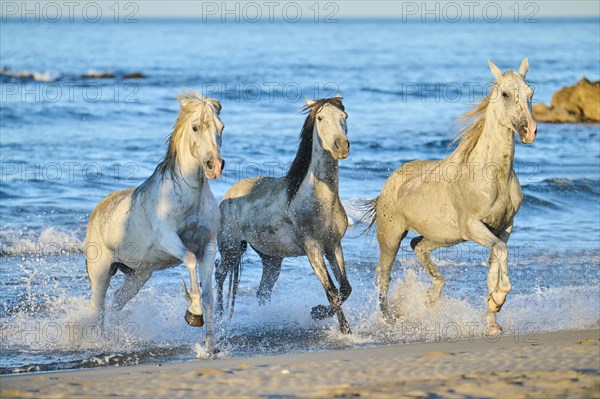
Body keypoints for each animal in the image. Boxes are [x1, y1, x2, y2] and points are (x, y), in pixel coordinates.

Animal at [83, 91, 224, 354]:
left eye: (221, 127)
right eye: (196, 127)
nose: (215, 166)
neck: (188, 194)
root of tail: (97, 212)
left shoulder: (209, 245)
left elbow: (209, 295)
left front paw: (210, 347)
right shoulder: (168, 238)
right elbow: (189, 259)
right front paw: (193, 313)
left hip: (138, 275)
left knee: (115, 303)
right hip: (101, 272)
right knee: (97, 308)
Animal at [216, 94, 352, 334]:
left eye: (344, 116)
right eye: (320, 118)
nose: (341, 146)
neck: (318, 201)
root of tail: (228, 196)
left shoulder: (333, 246)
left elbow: (345, 288)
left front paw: (317, 313)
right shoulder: (313, 249)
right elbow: (331, 290)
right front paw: (343, 329)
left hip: (271, 259)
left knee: (262, 292)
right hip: (230, 249)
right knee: (219, 274)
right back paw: (218, 316)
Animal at [366, 58, 540, 334]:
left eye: (530, 93)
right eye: (504, 94)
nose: (529, 131)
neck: (492, 176)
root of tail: (389, 182)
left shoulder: (503, 228)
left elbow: (495, 261)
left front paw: (492, 317)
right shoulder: (473, 227)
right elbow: (501, 253)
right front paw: (499, 298)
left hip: (443, 237)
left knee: (418, 247)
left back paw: (430, 297)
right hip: (391, 235)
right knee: (384, 273)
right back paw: (389, 319)